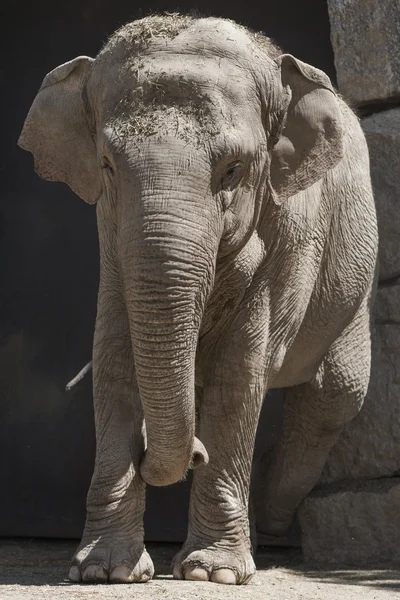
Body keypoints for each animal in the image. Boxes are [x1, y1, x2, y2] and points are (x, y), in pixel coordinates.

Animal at [17, 12, 376, 584]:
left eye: (232, 170)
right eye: (107, 165)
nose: (193, 455)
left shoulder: (288, 239)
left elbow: (240, 373)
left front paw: (214, 574)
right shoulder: (112, 243)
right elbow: (115, 361)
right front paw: (104, 571)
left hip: (352, 278)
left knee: (334, 395)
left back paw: (268, 518)